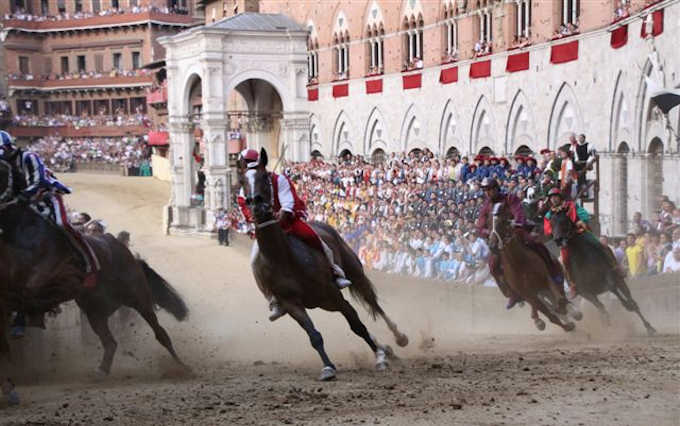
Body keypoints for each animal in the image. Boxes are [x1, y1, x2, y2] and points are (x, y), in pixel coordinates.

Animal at [0, 158, 189, 374]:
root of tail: (129, 255)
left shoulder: (54, 277)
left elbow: (28, 293)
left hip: (139, 298)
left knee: (160, 334)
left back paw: (183, 367)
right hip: (95, 311)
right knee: (110, 342)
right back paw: (101, 371)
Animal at [242, 148, 406, 382]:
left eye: (265, 177)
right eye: (243, 181)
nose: (255, 205)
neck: (284, 259)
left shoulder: (333, 296)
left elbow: (358, 326)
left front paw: (380, 358)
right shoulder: (292, 304)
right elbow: (314, 336)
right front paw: (328, 367)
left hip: (353, 271)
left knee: (373, 303)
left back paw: (398, 338)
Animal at [486, 201, 580, 332]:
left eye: (503, 221)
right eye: (489, 223)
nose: (492, 245)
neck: (519, 263)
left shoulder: (546, 279)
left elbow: (560, 300)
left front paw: (564, 310)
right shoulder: (528, 294)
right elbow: (550, 315)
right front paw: (565, 326)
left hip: (552, 279)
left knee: (560, 292)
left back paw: (572, 311)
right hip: (536, 294)